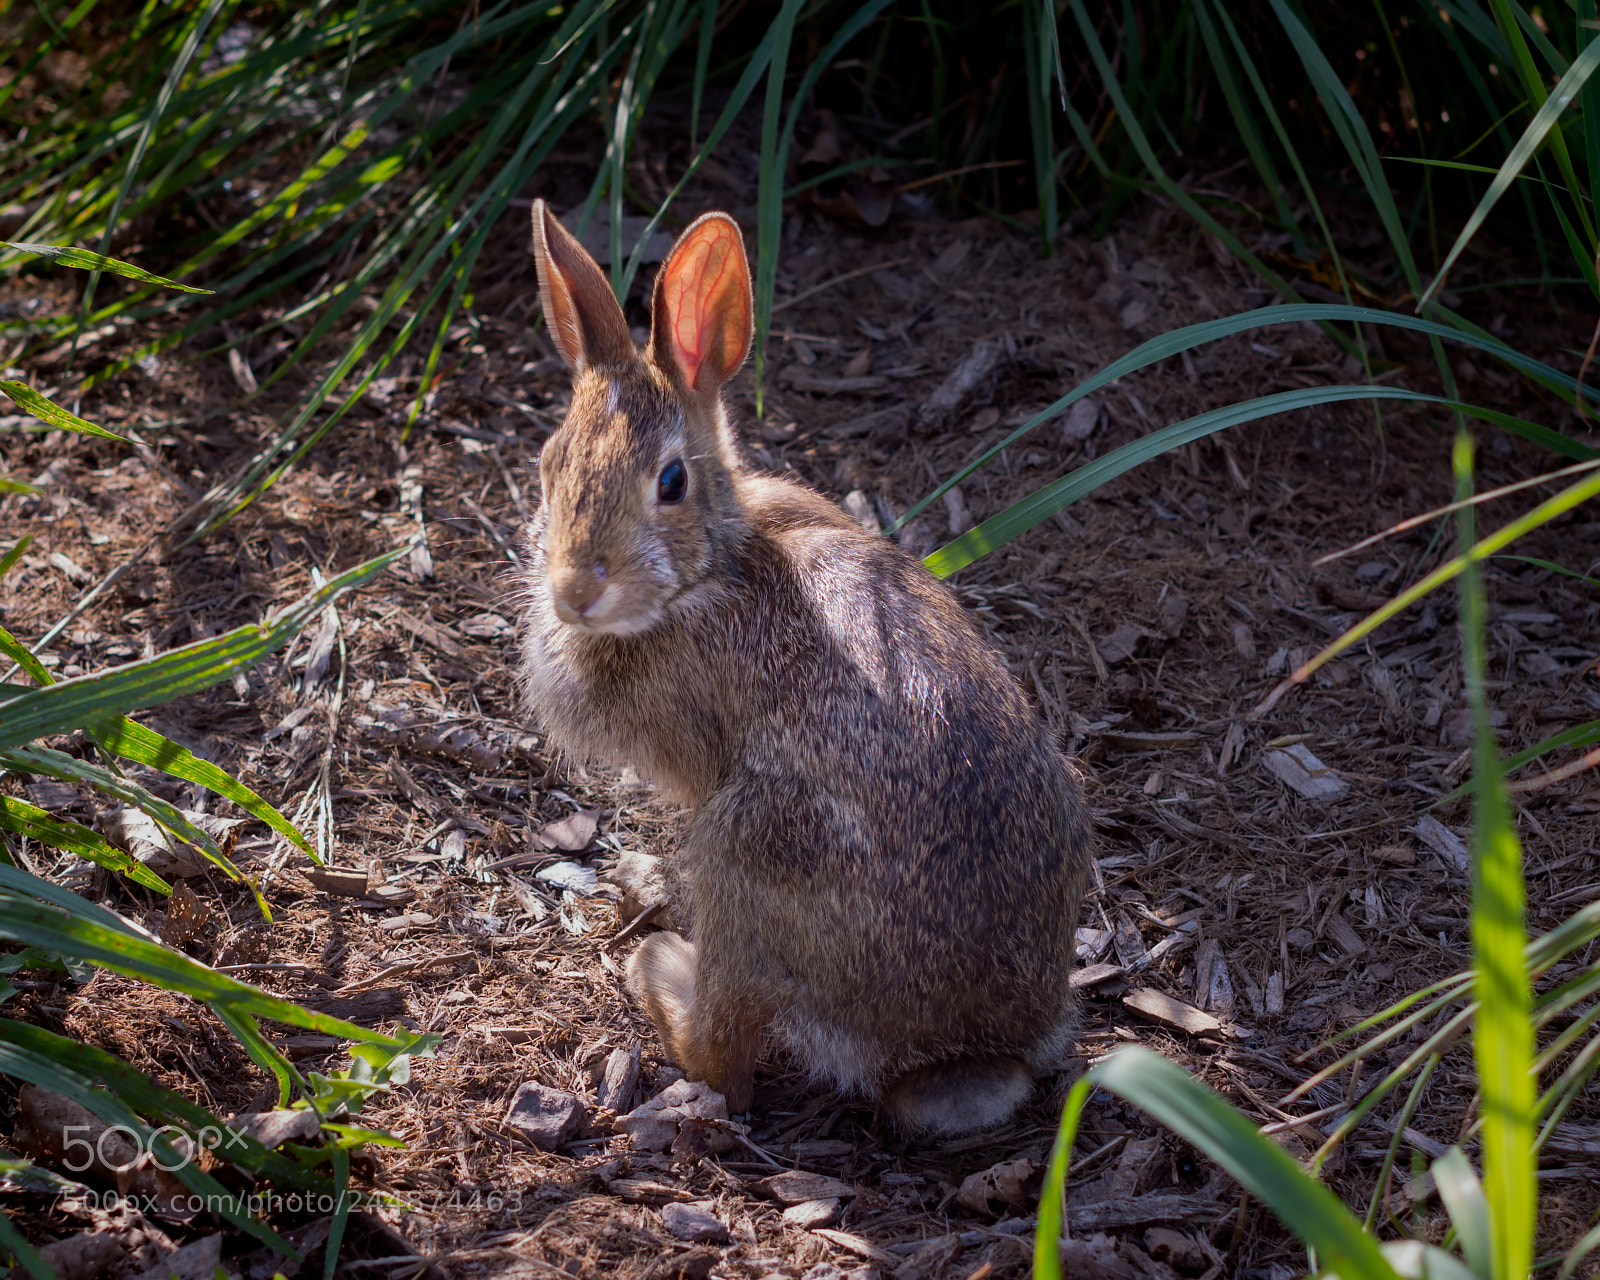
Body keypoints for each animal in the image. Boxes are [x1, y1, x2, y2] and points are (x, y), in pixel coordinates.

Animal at [517, 200, 1091, 1136]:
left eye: (670, 482)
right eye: (548, 464)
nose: (575, 591)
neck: (714, 565)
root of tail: (958, 1057)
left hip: (752, 852)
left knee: (722, 1056)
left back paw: (658, 965)